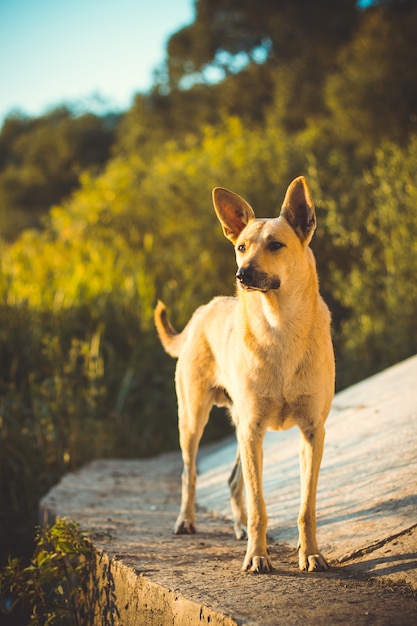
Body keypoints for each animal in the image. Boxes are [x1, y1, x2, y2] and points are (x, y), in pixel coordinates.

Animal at [154, 176, 334, 572]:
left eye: (276, 245)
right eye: (241, 247)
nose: (242, 274)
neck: (280, 325)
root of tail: (202, 311)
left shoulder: (312, 432)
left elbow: (307, 507)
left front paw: (311, 554)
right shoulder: (254, 430)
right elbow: (259, 506)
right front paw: (257, 556)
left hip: (238, 428)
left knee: (234, 481)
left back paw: (237, 526)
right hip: (195, 420)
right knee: (190, 473)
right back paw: (186, 521)